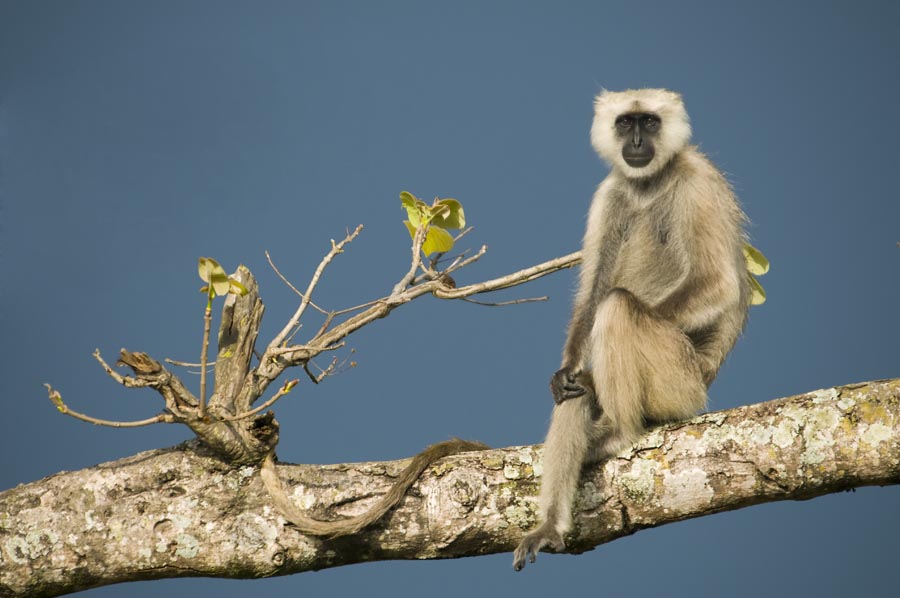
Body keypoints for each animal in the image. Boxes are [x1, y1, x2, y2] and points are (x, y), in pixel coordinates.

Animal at [512, 89, 752, 572]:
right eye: (626, 123)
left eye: (650, 122)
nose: (638, 140)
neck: (648, 184)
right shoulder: (610, 192)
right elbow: (592, 293)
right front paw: (566, 372)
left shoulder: (697, 179)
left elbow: (717, 284)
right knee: (578, 387)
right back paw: (551, 523)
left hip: (680, 383)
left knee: (619, 308)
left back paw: (620, 432)